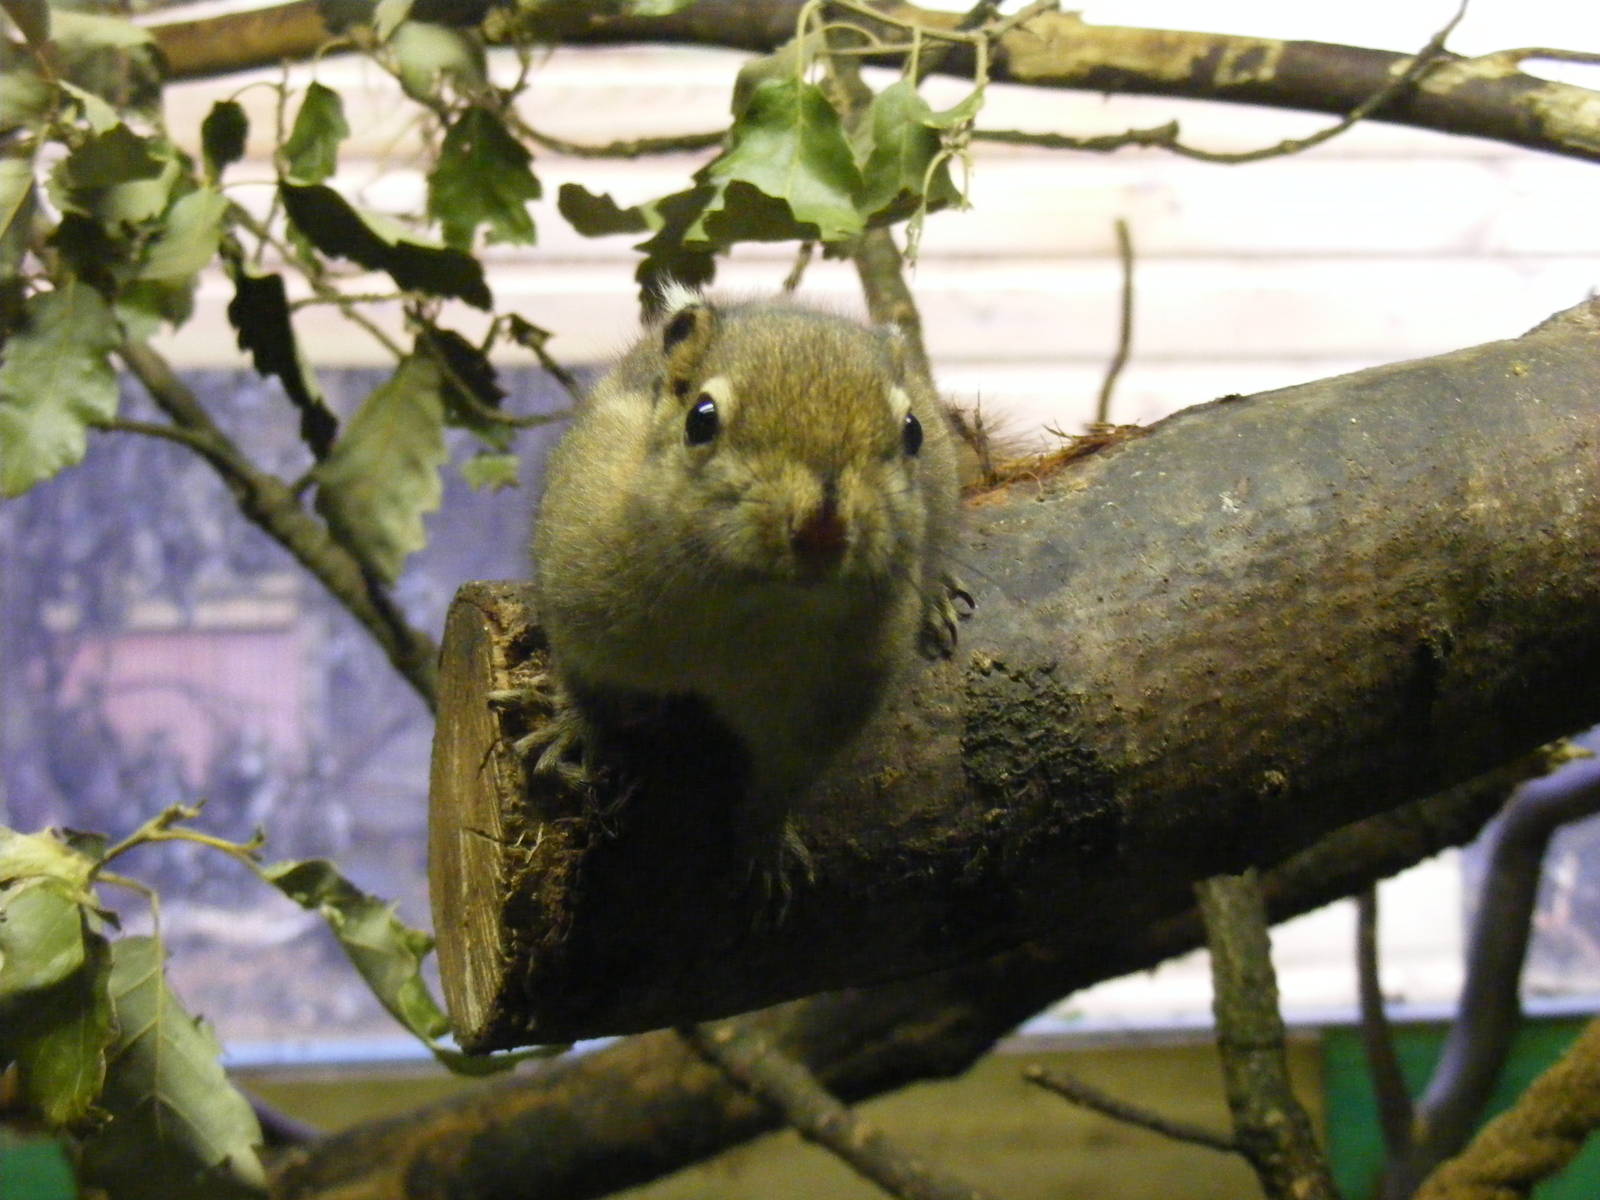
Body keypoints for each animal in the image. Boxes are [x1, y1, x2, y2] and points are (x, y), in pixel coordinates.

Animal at [526, 286, 968, 906]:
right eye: (701, 419)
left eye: (913, 432)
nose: (822, 528)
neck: (749, 607)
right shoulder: (581, 606)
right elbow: (584, 684)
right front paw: (574, 732)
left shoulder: (828, 706)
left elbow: (783, 781)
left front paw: (766, 845)